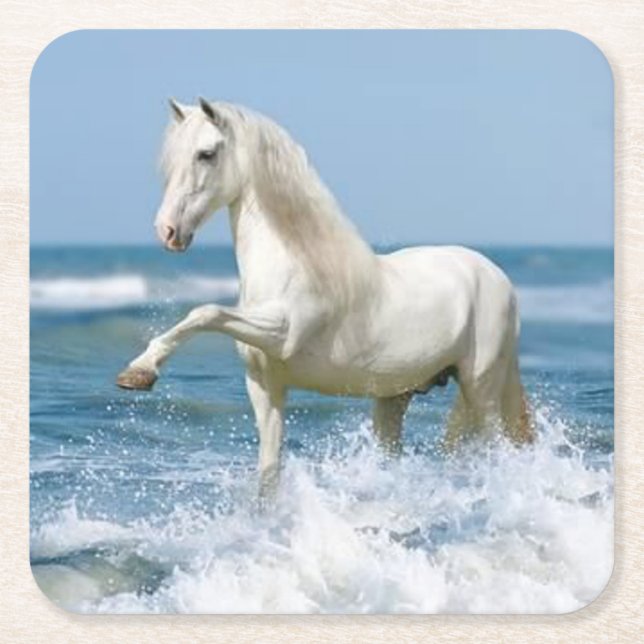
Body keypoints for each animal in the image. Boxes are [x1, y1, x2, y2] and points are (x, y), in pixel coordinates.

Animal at [117, 98, 534, 497]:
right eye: (171, 158)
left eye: (206, 153)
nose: (168, 231)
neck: (292, 262)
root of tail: (498, 278)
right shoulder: (265, 386)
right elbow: (269, 472)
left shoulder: (282, 334)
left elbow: (206, 312)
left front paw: (140, 371)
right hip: (394, 396)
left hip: (480, 389)